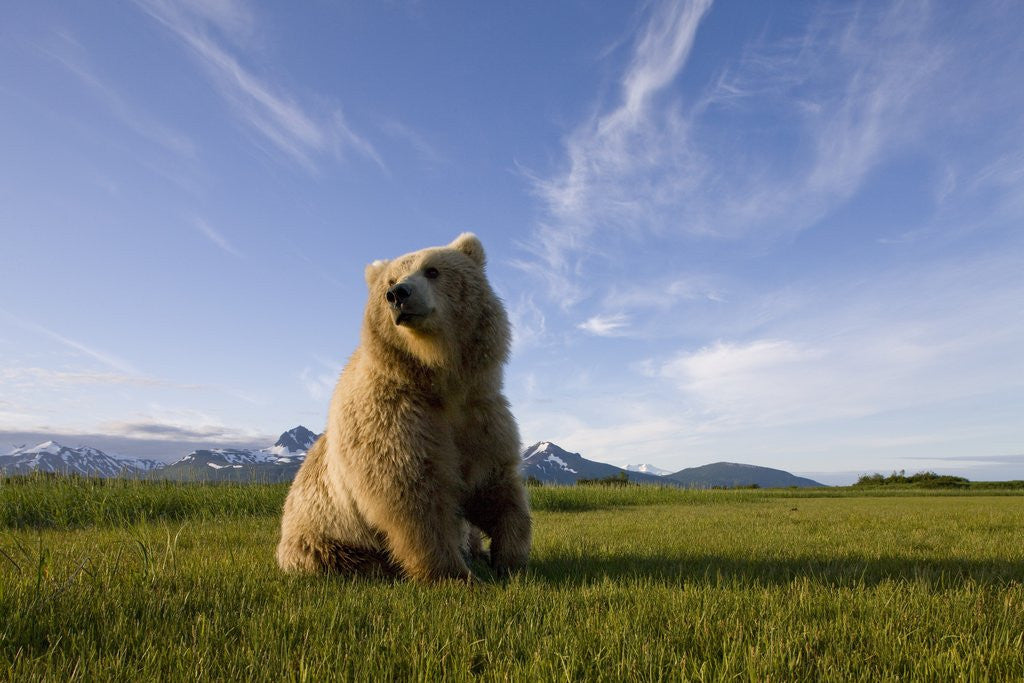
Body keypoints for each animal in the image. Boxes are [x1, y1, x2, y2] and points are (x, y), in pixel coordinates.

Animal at [276, 233, 532, 582]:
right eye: (391, 279)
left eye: (432, 270)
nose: (397, 295)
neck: (438, 377)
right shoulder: (395, 418)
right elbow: (414, 496)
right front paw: (456, 575)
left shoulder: (479, 415)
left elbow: (493, 485)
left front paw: (510, 557)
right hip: (322, 538)